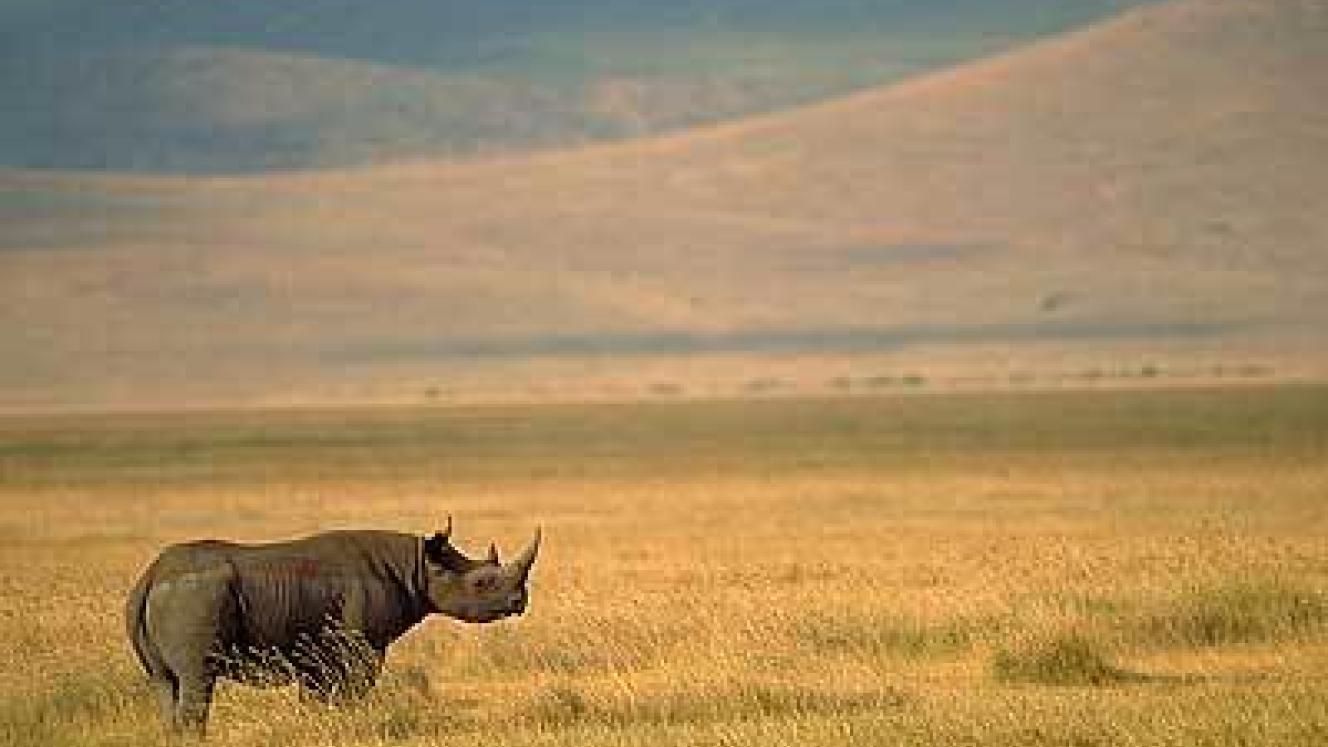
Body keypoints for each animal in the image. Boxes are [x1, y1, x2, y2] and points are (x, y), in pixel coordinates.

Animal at [125, 519, 539, 736]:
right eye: (482, 583)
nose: (519, 602)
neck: (418, 566)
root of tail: (150, 577)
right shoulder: (363, 645)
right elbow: (354, 689)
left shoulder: (315, 651)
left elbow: (314, 698)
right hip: (194, 596)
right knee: (198, 678)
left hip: (173, 598)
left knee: (166, 683)